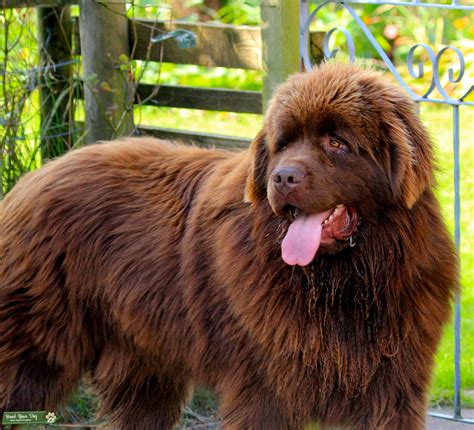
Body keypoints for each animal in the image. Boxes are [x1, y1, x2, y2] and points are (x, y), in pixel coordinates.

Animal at [0, 63, 460, 430]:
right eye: (283, 144)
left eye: (337, 143)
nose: (282, 177)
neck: (341, 284)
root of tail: (32, 179)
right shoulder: (264, 388)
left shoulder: (393, 388)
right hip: (33, 352)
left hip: (144, 364)